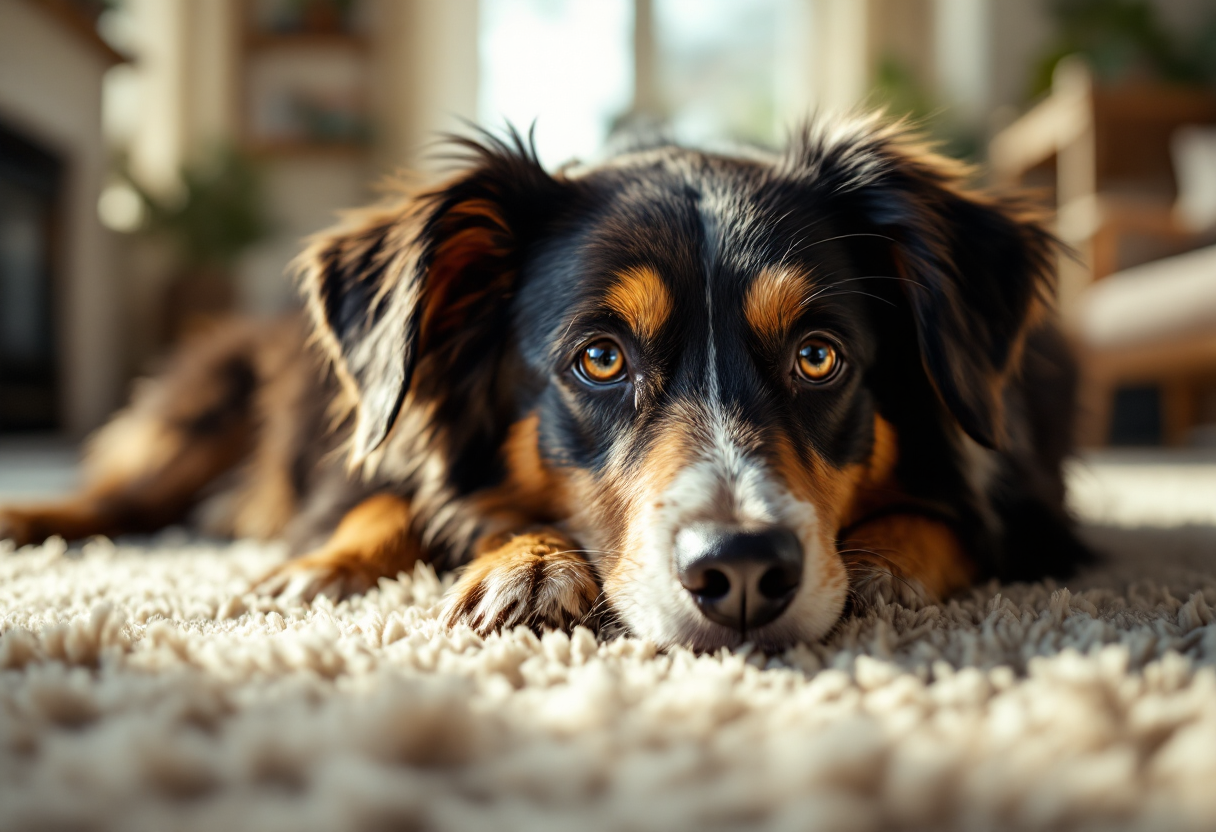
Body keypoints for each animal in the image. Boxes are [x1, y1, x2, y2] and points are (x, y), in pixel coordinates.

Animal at [0, 115, 1094, 651]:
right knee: (123, 495)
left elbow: (950, 522)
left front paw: (880, 561)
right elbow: (392, 503)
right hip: (209, 410)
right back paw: (33, 516)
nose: (743, 572)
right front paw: (506, 560)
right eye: (599, 358)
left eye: (818, 355)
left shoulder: (1030, 499)